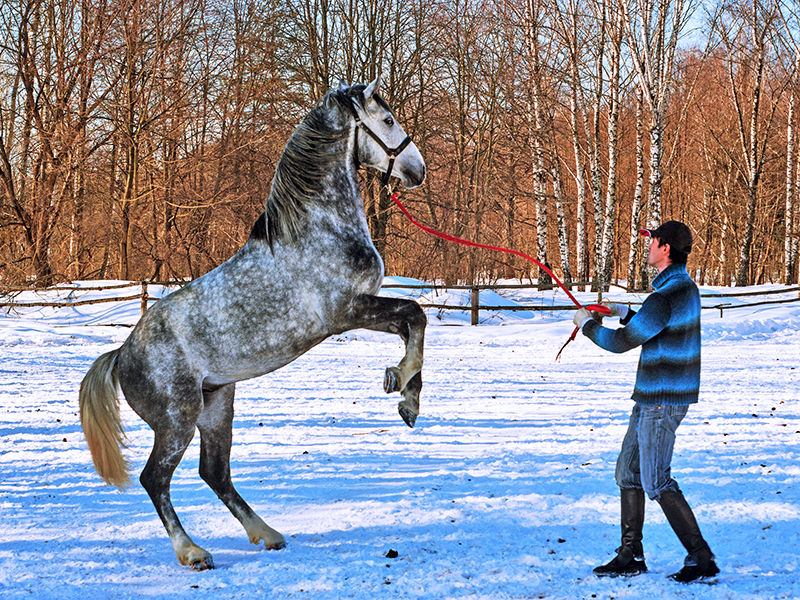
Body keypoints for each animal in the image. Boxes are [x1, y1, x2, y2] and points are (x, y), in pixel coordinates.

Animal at [79, 74, 427, 570]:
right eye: (388, 118)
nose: (418, 169)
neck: (317, 229)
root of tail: (120, 355)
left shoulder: (360, 309)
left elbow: (412, 324)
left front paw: (405, 395)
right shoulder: (346, 312)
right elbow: (414, 313)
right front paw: (401, 386)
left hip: (217, 406)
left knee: (215, 473)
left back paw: (267, 533)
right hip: (177, 419)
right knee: (155, 479)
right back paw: (193, 552)